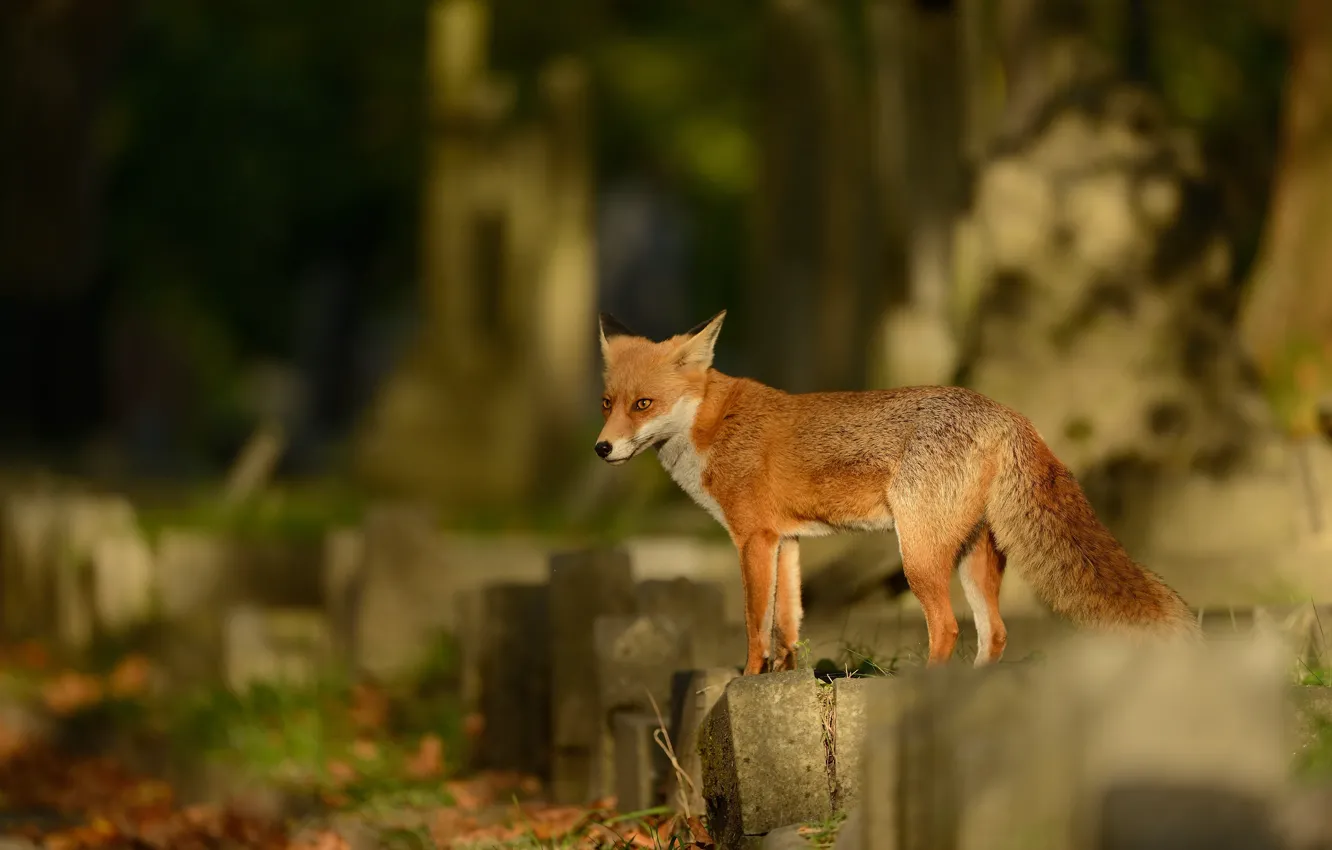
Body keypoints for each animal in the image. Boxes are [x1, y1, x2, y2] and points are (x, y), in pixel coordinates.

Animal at [594, 310, 1202, 675]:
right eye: (607, 403)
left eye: (643, 404)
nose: (601, 448)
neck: (712, 426)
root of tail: (1006, 413)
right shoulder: (785, 541)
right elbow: (788, 625)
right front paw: (781, 680)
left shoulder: (752, 540)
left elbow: (754, 627)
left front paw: (747, 678)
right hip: (973, 557)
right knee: (994, 633)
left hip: (919, 555)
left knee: (948, 628)